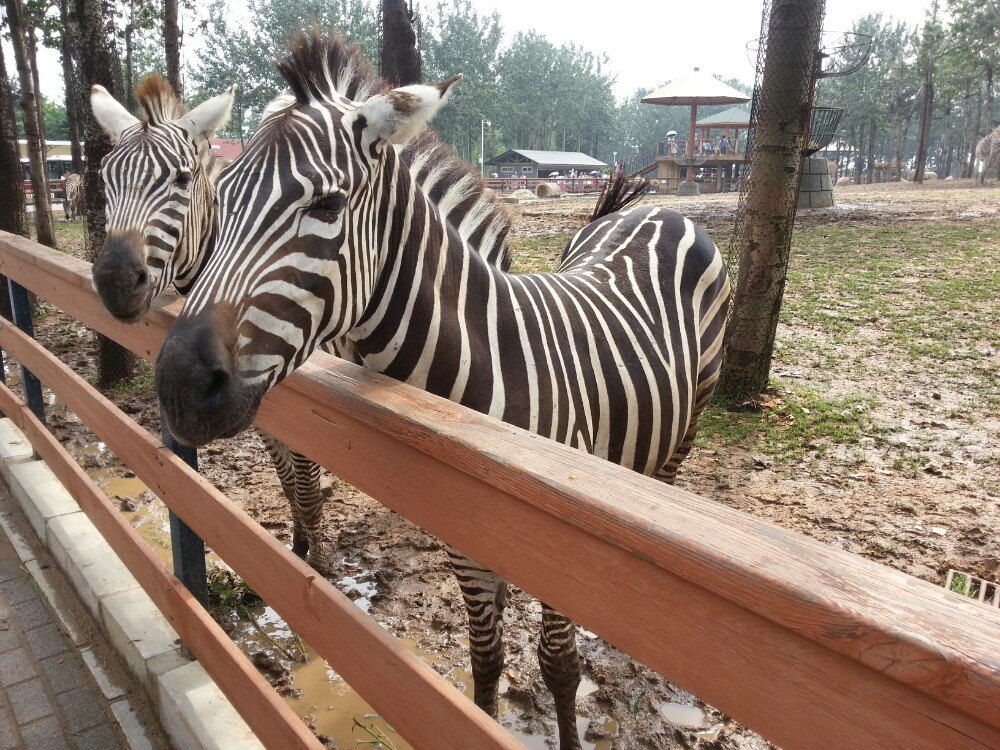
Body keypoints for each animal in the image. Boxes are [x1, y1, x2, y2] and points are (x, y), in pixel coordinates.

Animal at [86, 76, 328, 572]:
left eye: (181, 179)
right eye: (104, 177)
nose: (116, 281)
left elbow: (308, 485)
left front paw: (314, 566)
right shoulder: (258, 408)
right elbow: (288, 481)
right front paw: (296, 545)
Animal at [156, 32, 732, 748]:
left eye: (327, 205)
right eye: (221, 202)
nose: (177, 385)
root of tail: (656, 209)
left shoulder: (560, 556)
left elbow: (560, 665)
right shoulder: (463, 541)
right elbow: (484, 659)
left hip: (690, 418)